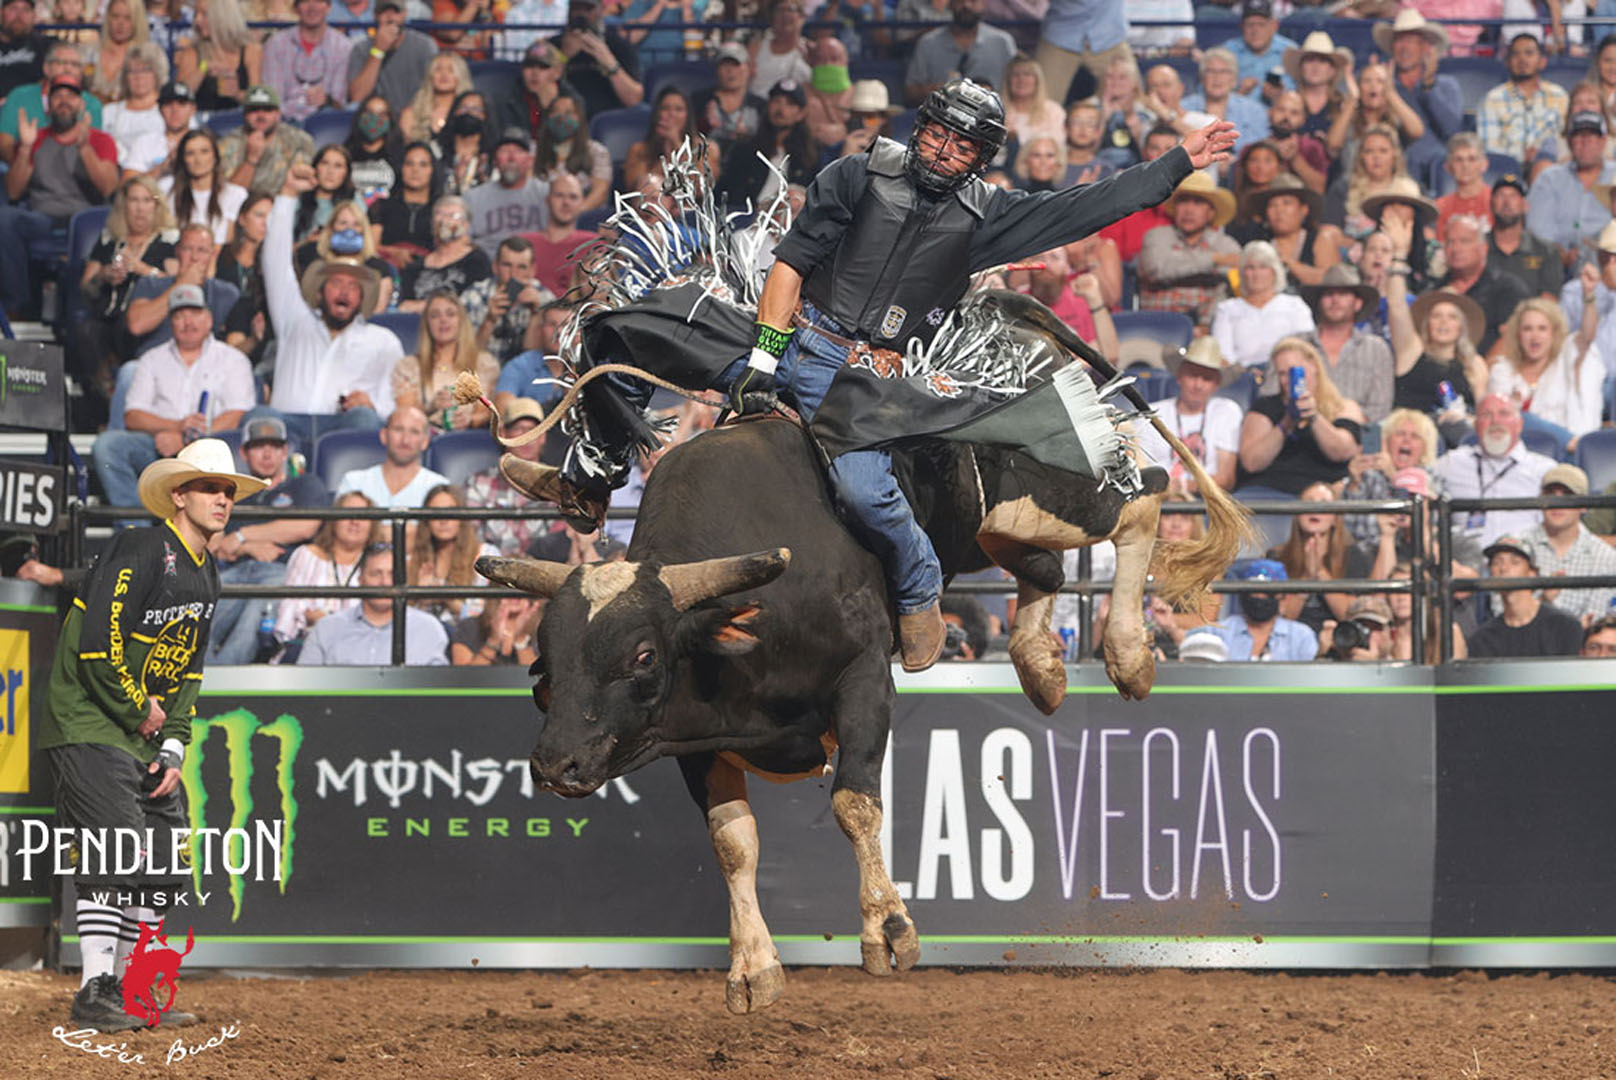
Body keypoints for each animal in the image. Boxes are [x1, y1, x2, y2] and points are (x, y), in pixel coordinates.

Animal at [477, 404, 1247, 1015]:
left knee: (1141, 501)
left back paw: (1128, 651)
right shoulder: (694, 740)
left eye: (642, 656)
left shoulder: (865, 681)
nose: (554, 763)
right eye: (548, 657)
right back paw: (1039, 662)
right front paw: (753, 968)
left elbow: (855, 801)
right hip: (990, 529)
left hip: (1038, 492)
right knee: (1045, 570)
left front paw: (888, 928)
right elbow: (734, 842)